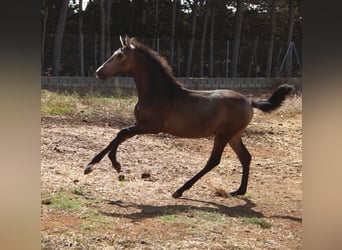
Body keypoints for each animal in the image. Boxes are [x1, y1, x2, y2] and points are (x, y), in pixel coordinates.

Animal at [83, 35, 294, 199]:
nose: (99, 72)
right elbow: (120, 135)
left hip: (223, 135)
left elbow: (121, 133)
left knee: (214, 161)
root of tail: (250, 101)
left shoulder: (152, 126)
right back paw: (239, 191)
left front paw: (104, 165)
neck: (159, 92)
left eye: (119, 55)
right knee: (246, 157)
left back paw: (180, 190)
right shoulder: (139, 123)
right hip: (234, 135)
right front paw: (99, 164)